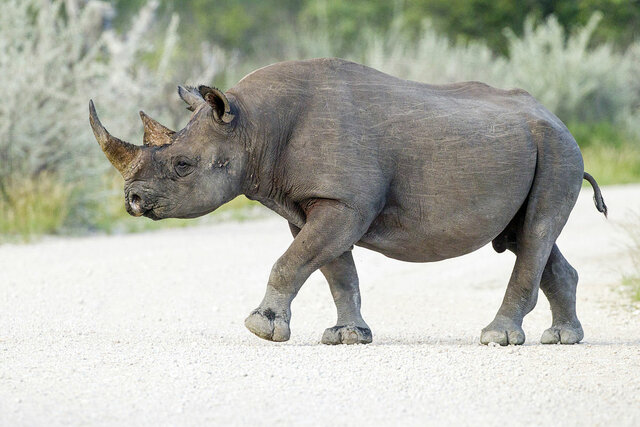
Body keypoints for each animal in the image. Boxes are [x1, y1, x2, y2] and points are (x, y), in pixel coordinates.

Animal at [89, 58, 607, 346]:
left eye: (182, 166)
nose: (132, 200)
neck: (252, 125)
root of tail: (555, 117)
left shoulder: (345, 203)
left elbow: (292, 261)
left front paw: (261, 329)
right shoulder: (314, 203)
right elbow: (333, 269)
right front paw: (348, 337)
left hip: (559, 150)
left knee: (535, 233)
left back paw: (498, 338)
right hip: (539, 147)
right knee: (527, 236)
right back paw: (563, 339)